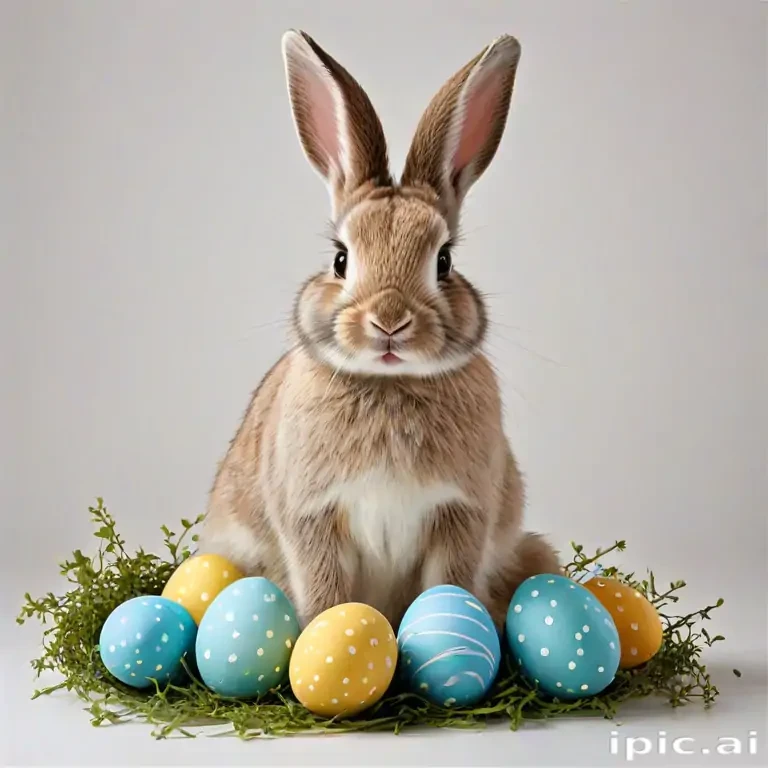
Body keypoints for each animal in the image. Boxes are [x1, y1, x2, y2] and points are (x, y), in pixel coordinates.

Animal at [198, 29, 561, 631]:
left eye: (444, 261)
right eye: (341, 259)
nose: (390, 321)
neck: (389, 384)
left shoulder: (461, 515)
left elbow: (447, 589)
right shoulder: (312, 518)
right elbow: (325, 594)